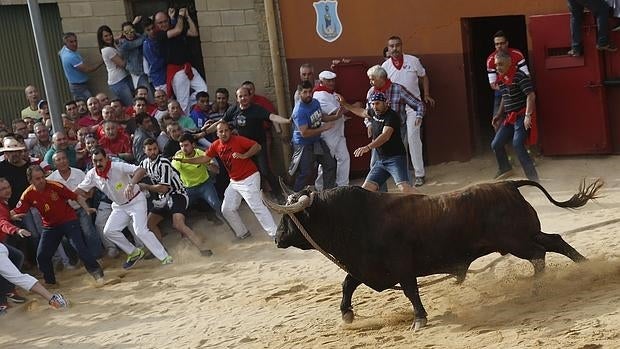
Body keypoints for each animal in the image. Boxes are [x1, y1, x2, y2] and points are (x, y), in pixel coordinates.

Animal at [264, 179, 604, 328]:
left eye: (289, 218)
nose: (277, 238)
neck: (353, 218)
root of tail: (507, 184)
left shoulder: (400, 267)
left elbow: (411, 292)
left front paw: (419, 319)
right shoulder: (366, 268)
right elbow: (347, 284)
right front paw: (347, 315)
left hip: (515, 241)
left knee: (539, 254)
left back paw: (539, 288)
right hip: (521, 236)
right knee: (554, 242)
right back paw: (586, 267)